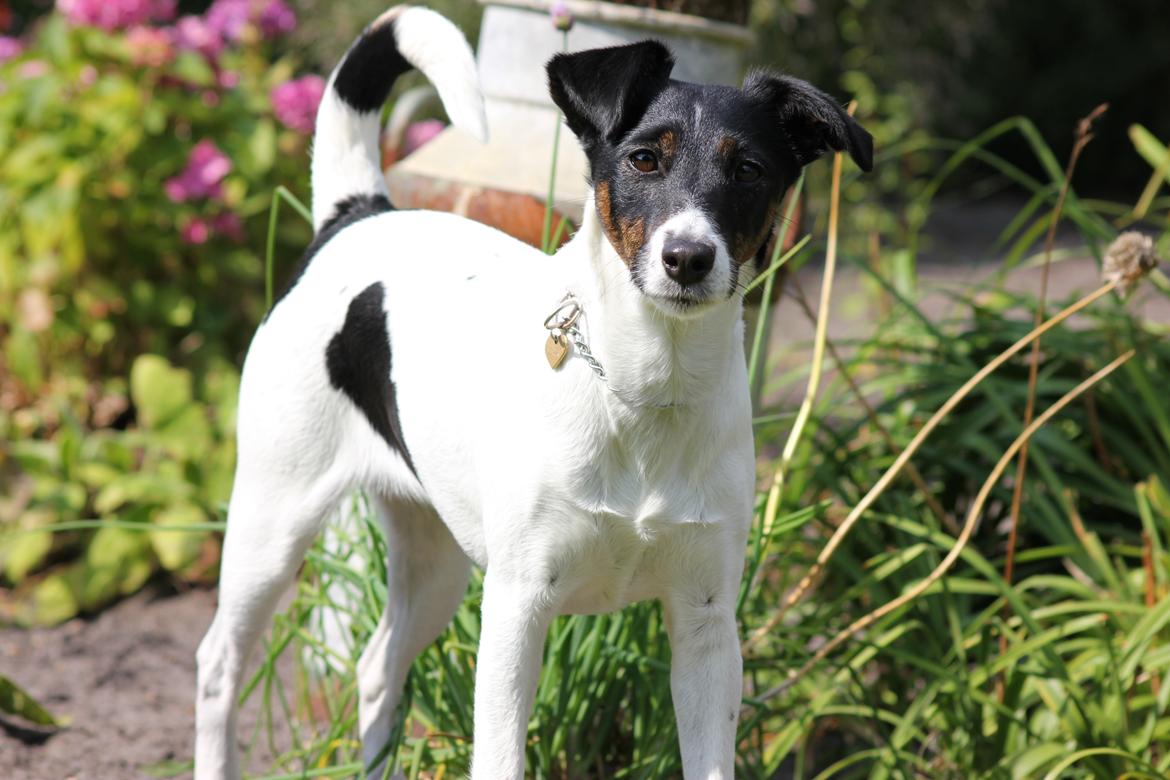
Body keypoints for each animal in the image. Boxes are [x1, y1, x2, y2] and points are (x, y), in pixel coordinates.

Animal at [191, 7, 870, 780]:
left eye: (749, 169)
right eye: (644, 159)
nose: (688, 258)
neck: (642, 392)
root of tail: (357, 215)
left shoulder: (706, 626)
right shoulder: (517, 612)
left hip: (434, 561)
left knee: (376, 669)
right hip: (273, 523)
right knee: (218, 666)